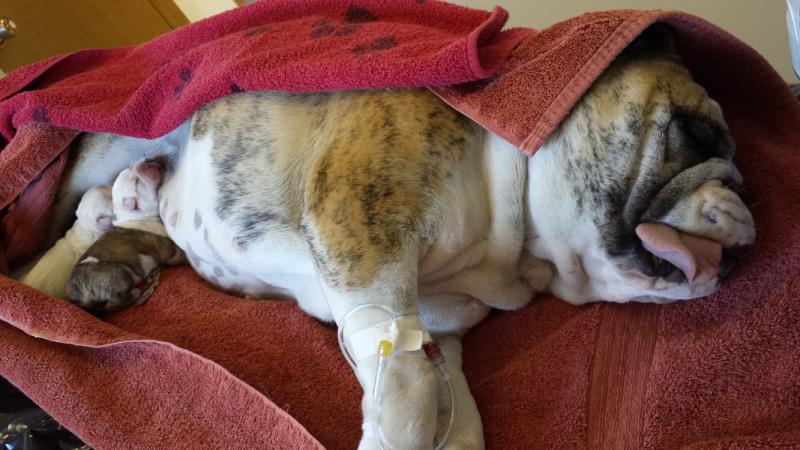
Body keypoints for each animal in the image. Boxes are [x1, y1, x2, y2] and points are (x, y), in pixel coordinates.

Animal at [67, 163, 183, 312]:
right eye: (136, 182)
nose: (149, 164)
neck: (131, 216)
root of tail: (80, 297)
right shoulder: (166, 249)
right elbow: (175, 254)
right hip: (119, 272)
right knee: (113, 304)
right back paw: (136, 293)